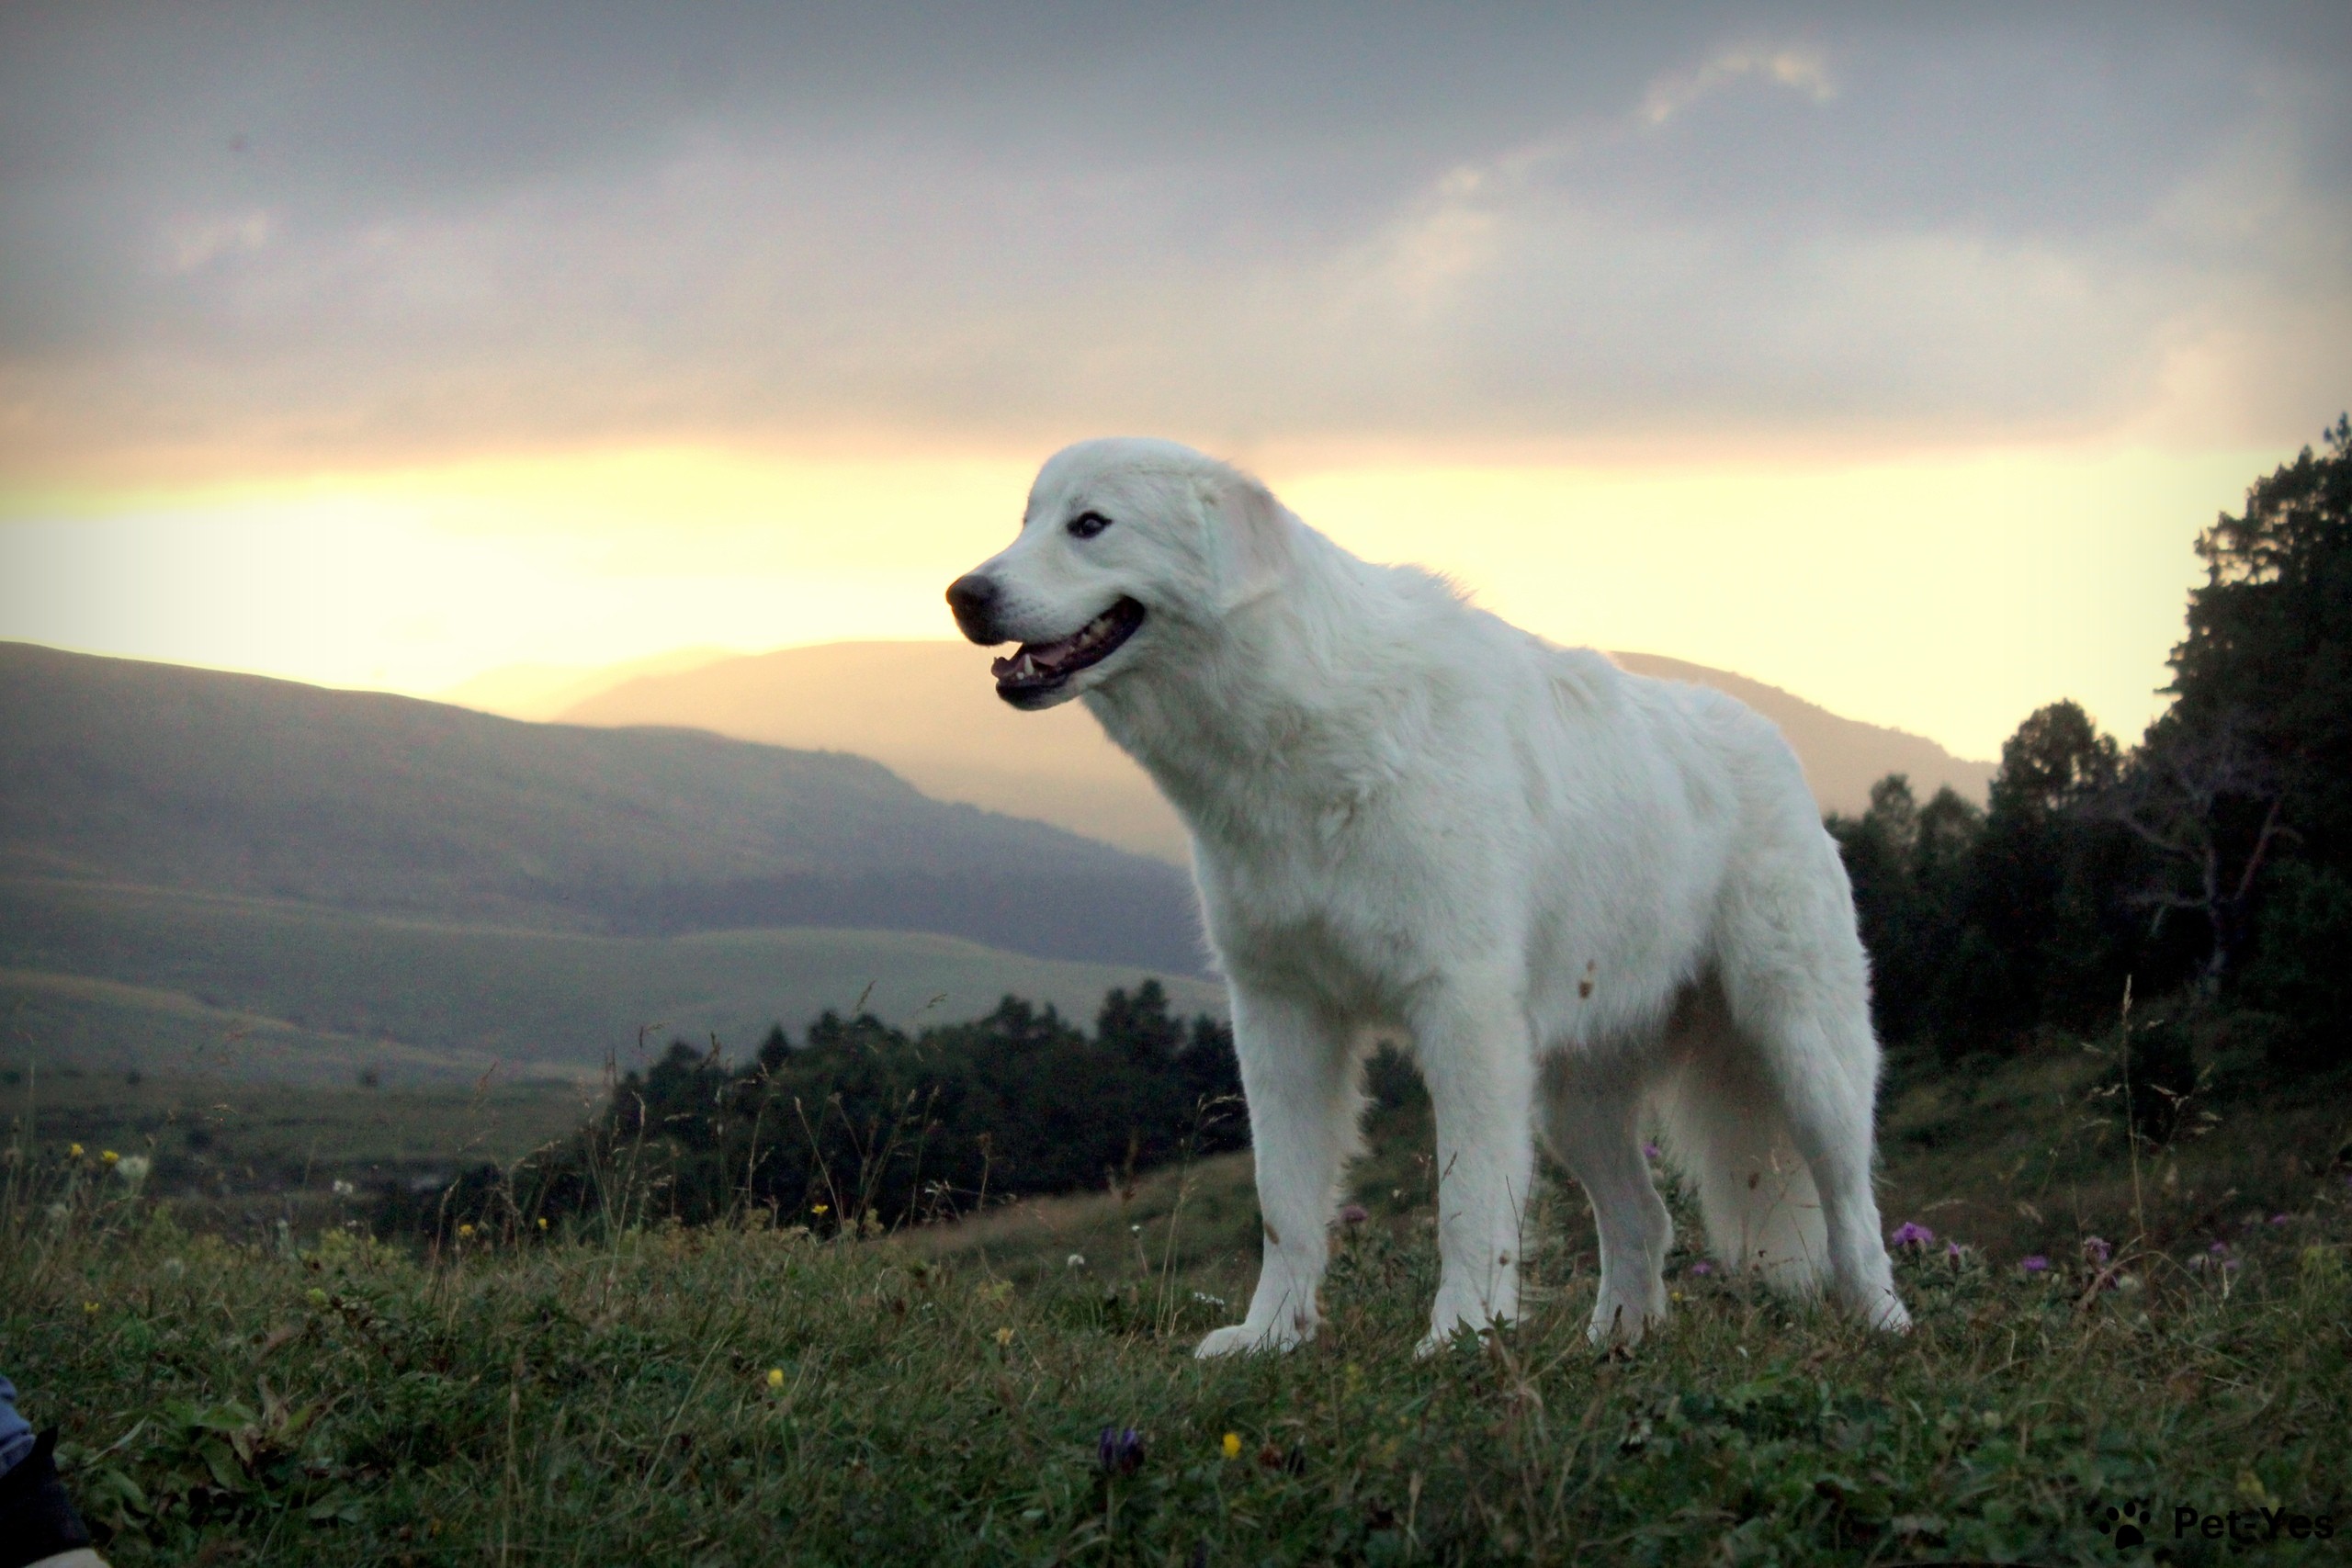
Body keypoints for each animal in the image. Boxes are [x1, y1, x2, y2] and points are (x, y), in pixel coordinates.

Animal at [941, 434, 1909, 1354]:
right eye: (1025, 522)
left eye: (1090, 524)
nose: (961, 593)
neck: (1295, 727)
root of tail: (1773, 743)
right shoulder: (1280, 1014)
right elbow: (1284, 1204)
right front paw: (1270, 1337)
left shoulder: (1462, 1011)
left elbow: (1468, 1204)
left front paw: (1462, 1335)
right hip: (1575, 1096)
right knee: (1644, 1218)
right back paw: (1617, 1343)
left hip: (1804, 1050)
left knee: (1852, 1212)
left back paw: (1885, 1325)